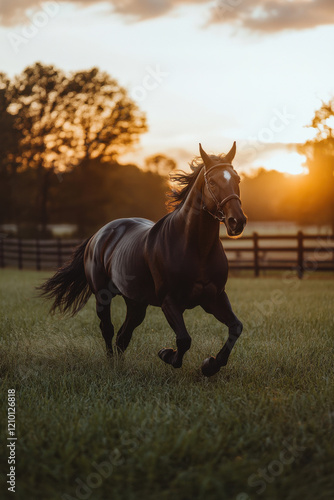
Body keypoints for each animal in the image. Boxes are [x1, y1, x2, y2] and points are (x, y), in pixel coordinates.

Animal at [39, 143, 248, 376]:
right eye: (212, 182)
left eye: (237, 179)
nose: (237, 221)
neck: (195, 248)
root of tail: (98, 235)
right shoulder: (169, 301)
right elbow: (184, 340)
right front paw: (166, 354)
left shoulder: (214, 298)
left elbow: (235, 328)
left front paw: (210, 365)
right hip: (102, 296)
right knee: (108, 330)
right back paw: (112, 365)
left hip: (136, 303)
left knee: (123, 336)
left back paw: (121, 366)